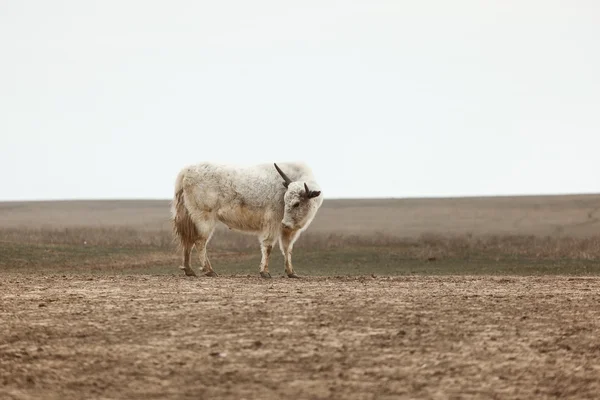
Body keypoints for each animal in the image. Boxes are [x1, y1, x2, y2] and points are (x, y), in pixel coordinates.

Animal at [172, 162, 324, 278]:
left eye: (296, 203)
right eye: (286, 200)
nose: (285, 223)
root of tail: (186, 171)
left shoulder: (289, 231)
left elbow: (287, 249)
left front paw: (291, 272)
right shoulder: (272, 223)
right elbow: (268, 246)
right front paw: (264, 272)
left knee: (188, 241)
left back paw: (189, 270)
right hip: (204, 218)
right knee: (199, 241)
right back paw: (209, 270)